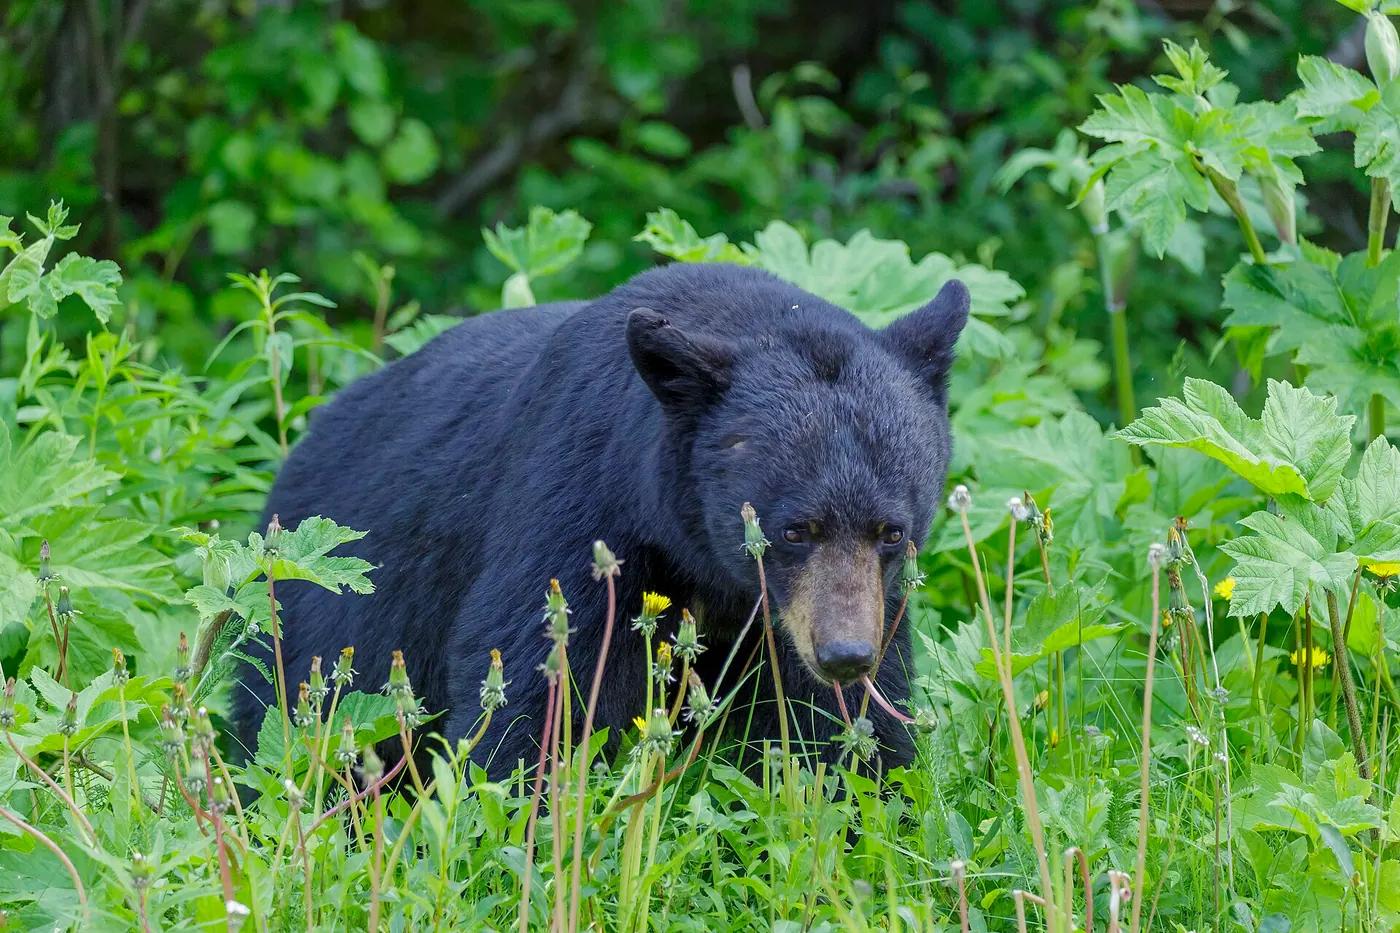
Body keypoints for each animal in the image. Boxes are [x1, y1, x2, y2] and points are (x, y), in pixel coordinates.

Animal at [234, 262, 969, 777]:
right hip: (323, 613)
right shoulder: (578, 502)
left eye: (892, 531)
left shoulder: (832, 608)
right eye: (795, 529)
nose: (844, 654)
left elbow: (843, 723)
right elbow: (537, 676)